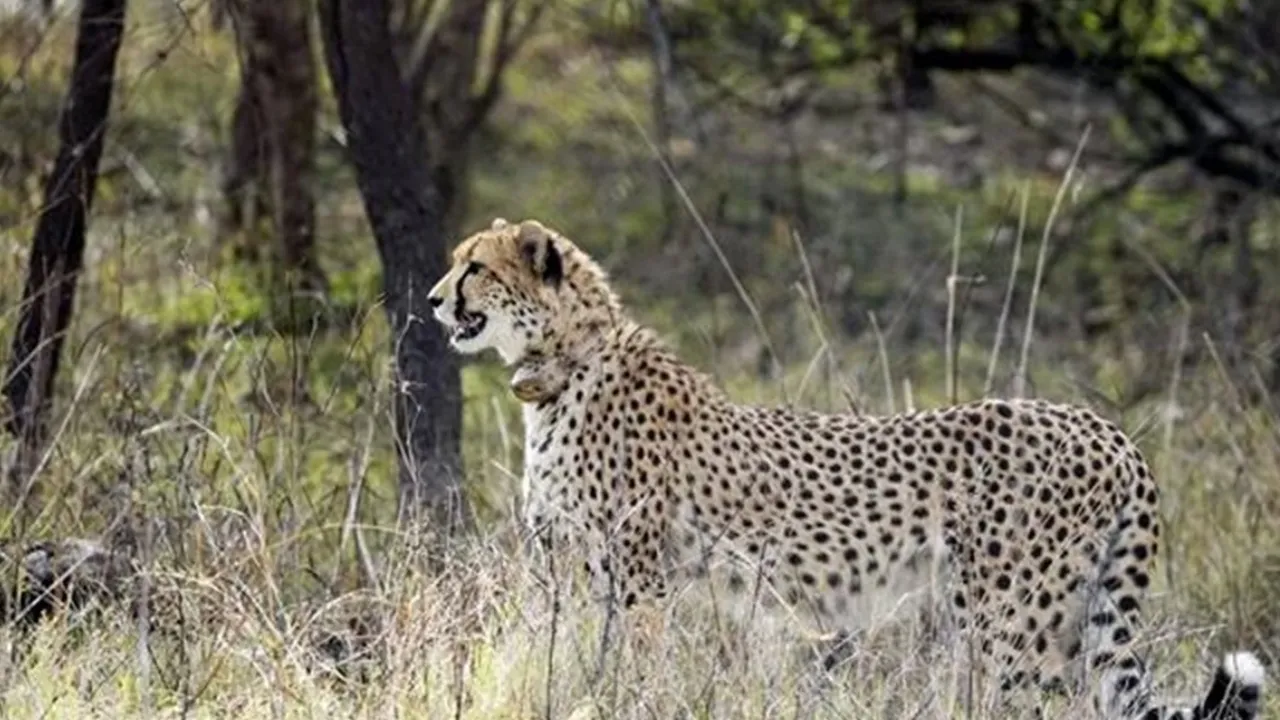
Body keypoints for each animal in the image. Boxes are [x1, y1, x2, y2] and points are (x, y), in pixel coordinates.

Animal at [427, 217, 1265, 720]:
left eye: (474, 268)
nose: (432, 300)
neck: (565, 364)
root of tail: (1107, 428)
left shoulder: (638, 577)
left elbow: (631, 666)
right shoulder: (571, 572)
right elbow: (565, 658)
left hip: (1009, 620)